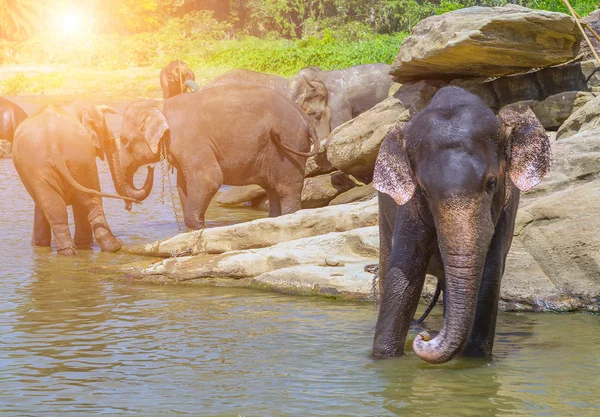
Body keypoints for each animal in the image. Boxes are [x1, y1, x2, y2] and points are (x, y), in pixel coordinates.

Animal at [12, 102, 152, 255]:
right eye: (109, 140)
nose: (128, 207)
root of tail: (55, 151)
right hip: (76, 160)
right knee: (87, 202)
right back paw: (112, 247)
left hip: (67, 162)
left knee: (59, 208)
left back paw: (72, 252)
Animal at [119, 83, 322, 228]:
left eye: (123, 140)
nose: (128, 207)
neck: (161, 105)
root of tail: (306, 120)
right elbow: (183, 186)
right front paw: (194, 229)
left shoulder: (191, 142)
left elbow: (209, 179)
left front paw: (198, 227)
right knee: (272, 189)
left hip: (289, 146)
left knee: (286, 189)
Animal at [372, 86, 552, 362]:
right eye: (424, 191)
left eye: (491, 183)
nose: (423, 337)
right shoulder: (408, 208)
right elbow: (403, 278)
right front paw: (385, 359)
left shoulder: (506, 209)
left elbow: (490, 276)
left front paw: (474, 360)